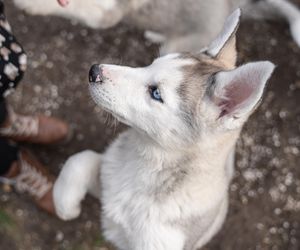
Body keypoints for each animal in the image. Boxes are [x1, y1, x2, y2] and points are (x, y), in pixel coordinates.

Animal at [53, 10, 274, 250]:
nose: (94, 71)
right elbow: (79, 159)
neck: (145, 164)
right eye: (150, 64)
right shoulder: (107, 178)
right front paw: (65, 205)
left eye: (156, 93)